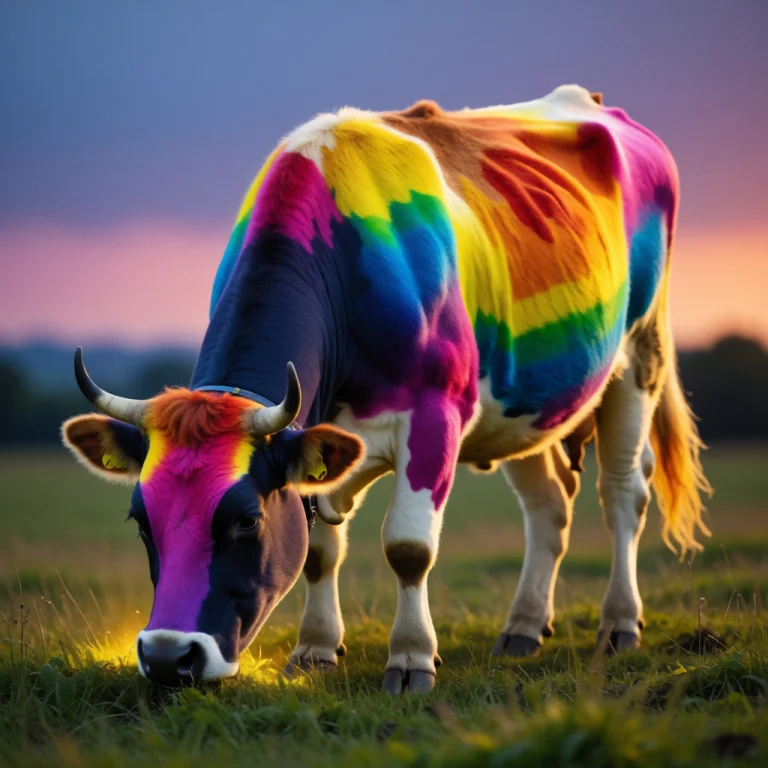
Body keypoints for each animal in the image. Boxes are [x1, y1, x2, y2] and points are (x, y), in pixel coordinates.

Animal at [62, 85, 711, 693]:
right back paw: (525, 626)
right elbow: (320, 550)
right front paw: (315, 649)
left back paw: (619, 623)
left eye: (245, 519)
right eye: (140, 520)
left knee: (623, 493)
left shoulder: (434, 416)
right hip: (524, 402)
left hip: (640, 355)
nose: (168, 657)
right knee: (549, 504)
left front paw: (411, 658)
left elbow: (408, 548)